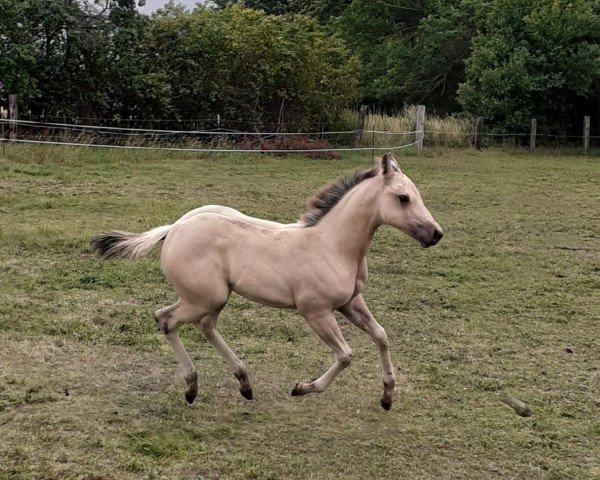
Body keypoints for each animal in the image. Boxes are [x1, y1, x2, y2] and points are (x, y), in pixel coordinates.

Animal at [91, 153, 442, 408]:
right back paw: (192, 387)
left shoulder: (350, 302)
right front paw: (302, 388)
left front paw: (387, 395)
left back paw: (244, 383)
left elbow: (381, 336)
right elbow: (345, 354)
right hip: (204, 298)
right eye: (403, 198)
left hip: (214, 297)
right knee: (165, 319)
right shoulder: (316, 311)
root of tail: (173, 229)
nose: (436, 234)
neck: (334, 244)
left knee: (204, 326)